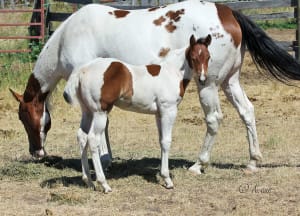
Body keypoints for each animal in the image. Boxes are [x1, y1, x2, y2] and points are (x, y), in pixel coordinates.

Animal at [9, 0, 300, 174]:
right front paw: (107, 158)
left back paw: (199, 164)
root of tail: (228, 12)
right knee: (247, 112)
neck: (70, 36)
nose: (36, 152)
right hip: (230, 82)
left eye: (25, 118)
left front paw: (102, 160)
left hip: (208, 84)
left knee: (214, 119)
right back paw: (252, 161)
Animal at [63, 34, 212, 192]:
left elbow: (161, 141)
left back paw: (89, 181)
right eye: (193, 57)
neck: (171, 72)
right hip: (100, 113)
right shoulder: (168, 110)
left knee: (82, 136)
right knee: (92, 139)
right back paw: (104, 184)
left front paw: (163, 177)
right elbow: (166, 141)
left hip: (87, 112)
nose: (203, 79)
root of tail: (83, 70)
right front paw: (168, 180)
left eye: (208, 57)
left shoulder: (159, 114)